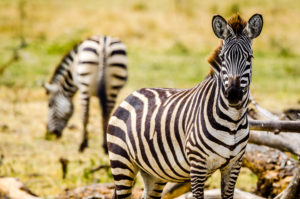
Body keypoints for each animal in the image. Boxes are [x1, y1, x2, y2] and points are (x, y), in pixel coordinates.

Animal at [108, 13, 262, 198]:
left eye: (249, 58)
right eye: (224, 58)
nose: (233, 94)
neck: (232, 121)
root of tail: (131, 95)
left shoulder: (234, 164)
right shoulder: (197, 164)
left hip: (154, 172)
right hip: (122, 162)